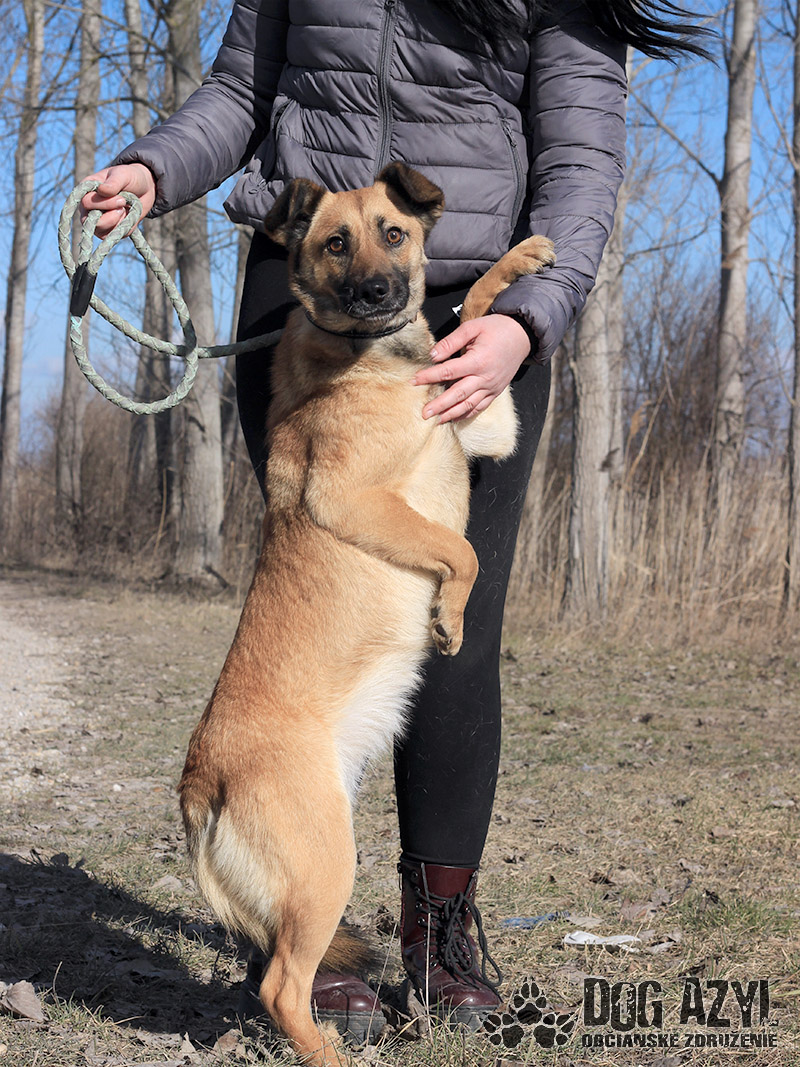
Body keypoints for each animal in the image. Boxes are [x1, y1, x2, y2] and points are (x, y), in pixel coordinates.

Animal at [178, 163, 555, 1065]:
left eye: (395, 232)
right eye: (334, 243)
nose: (381, 291)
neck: (376, 356)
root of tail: (200, 777)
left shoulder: (484, 421)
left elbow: (472, 313)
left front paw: (517, 261)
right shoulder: (356, 500)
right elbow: (462, 553)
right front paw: (450, 615)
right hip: (326, 866)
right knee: (281, 985)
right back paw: (332, 1051)